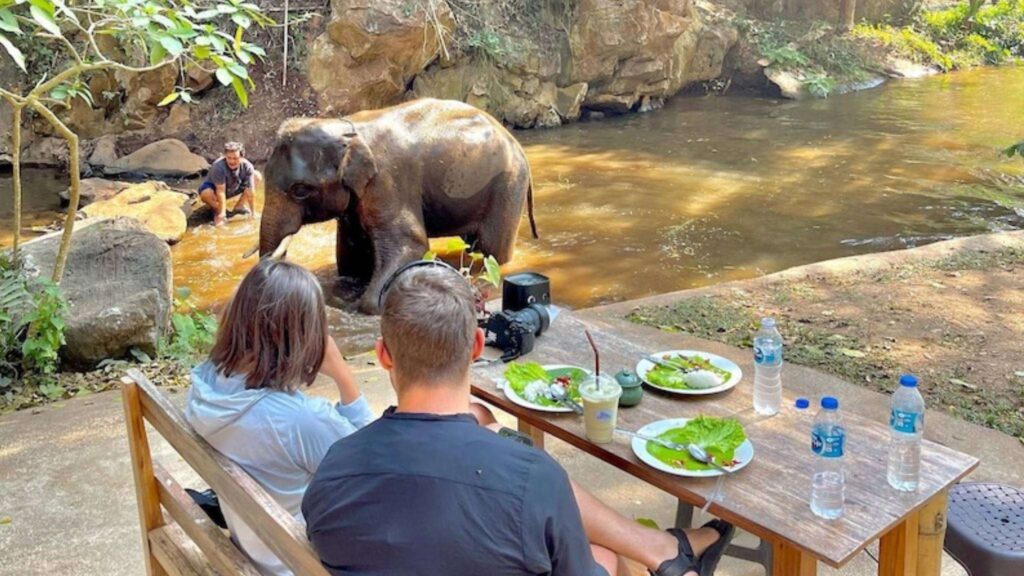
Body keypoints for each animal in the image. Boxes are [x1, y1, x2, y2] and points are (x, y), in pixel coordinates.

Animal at [258, 99, 538, 313]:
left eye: (300, 190)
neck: (346, 127)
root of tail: (516, 142)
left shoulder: (388, 180)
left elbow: (412, 243)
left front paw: (374, 304)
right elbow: (350, 257)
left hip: (508, 187)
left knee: (492, 251)